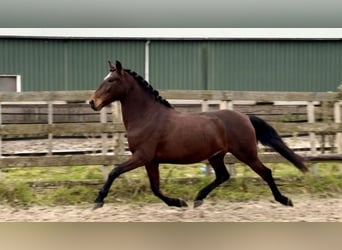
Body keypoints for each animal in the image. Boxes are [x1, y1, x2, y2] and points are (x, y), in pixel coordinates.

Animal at [89, 60, 308, 209]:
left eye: (112, 80)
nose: (92, 102)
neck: (148, 116)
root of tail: (245, 117)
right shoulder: (151, 161)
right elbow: (155, 188)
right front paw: (178, 202)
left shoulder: (142, 156)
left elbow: (114, 171)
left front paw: (98, 201)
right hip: (216, 156)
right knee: (223, 175)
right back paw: (198, 199)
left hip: (246, 154)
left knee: (265, 172)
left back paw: (284, 200)